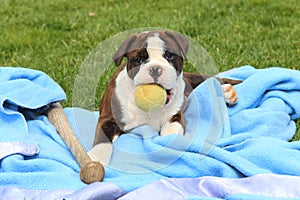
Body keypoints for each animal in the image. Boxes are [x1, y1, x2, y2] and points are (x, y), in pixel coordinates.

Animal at [89, 30, 241, 164]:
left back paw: (226, 92)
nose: (155, 68)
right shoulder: (107, 119)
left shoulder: (175, 117)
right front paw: (95, 158)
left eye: (169, 55)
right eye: (138, 60)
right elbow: (102, 141)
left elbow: (171, 134)